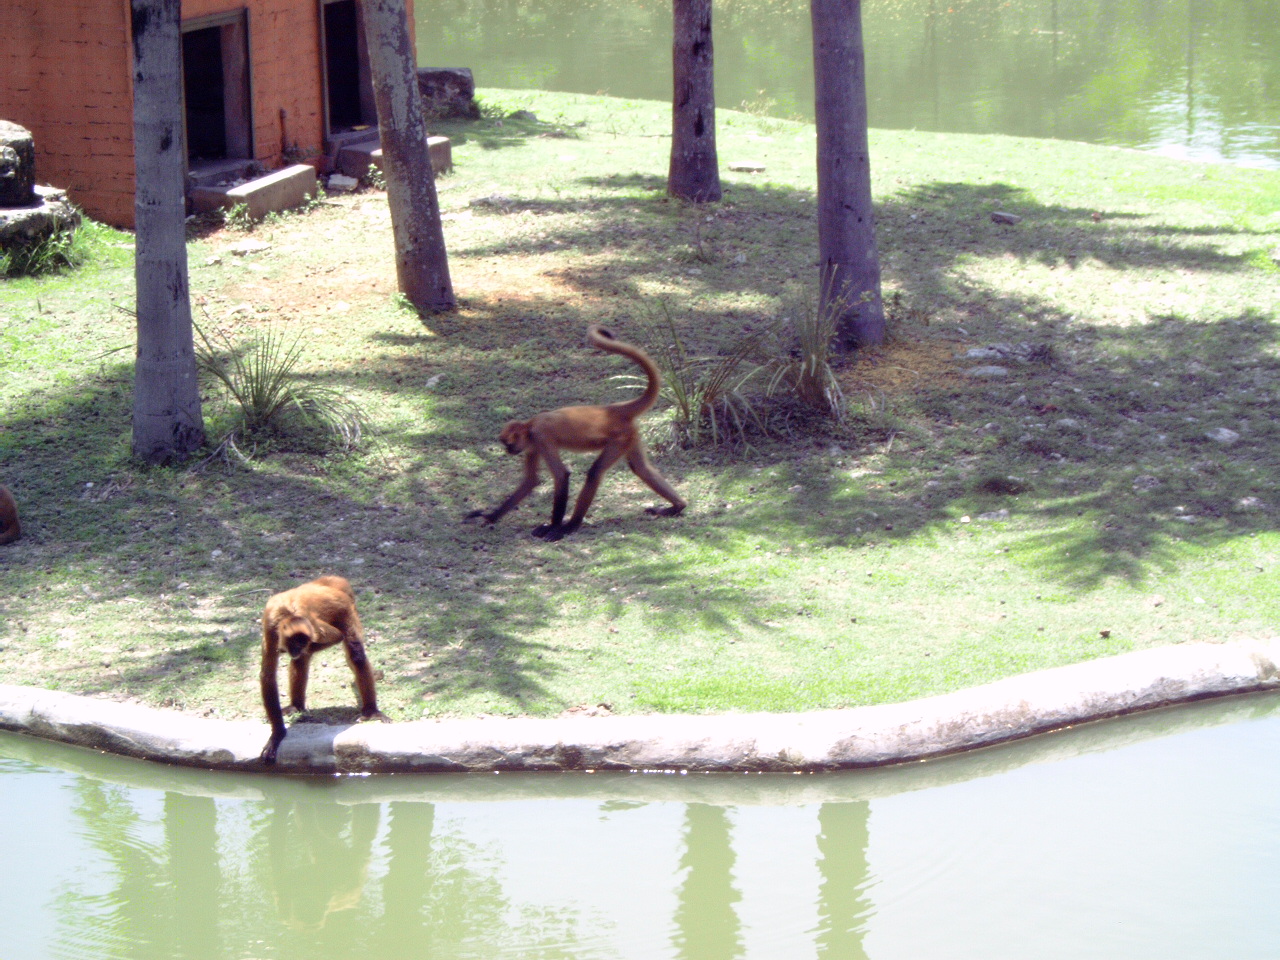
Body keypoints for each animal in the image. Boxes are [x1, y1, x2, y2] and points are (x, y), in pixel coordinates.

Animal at [258, 575, 387, 764]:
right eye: (294, 643)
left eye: (300, 643)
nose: (296, 650)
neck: (288, 612)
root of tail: (332, 581)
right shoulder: (271, 625)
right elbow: (268, 675)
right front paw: (277, 734)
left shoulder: (310, 623)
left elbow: (337, 637)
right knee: (301, 661)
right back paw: (296, 705)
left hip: (346, 611)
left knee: (356, 655)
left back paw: (371, 711)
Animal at [466, 324, 686, 541]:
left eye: (507, 444)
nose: (508, 451)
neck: (530, 425)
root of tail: (613, 409)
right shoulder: (533, 445)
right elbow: (530, 482)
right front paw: (490, 516)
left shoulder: (541, 436)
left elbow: (562, 475)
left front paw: (553, 527)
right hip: (630, 436)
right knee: (641, 469)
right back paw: (678, 507)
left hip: (620, 438)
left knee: (595, 473)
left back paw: (571, 525)